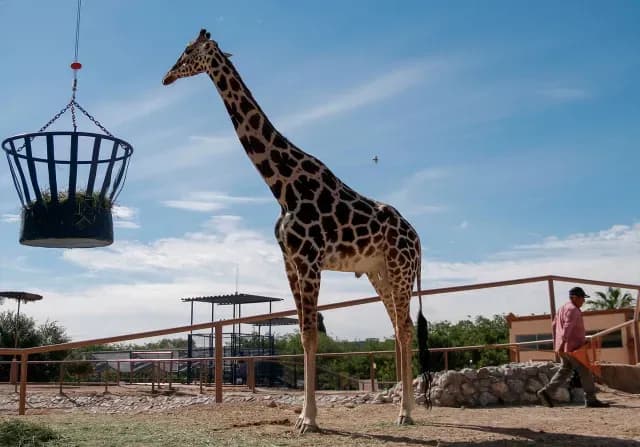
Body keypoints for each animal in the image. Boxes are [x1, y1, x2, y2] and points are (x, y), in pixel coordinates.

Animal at [163, 29, 430, 433]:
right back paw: (402, 408)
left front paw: (309, 419)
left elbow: (310, 335)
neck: (282, 186)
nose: (167, 76)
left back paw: (406, 413)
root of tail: (418, 239)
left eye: (188, 50)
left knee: (405, 328)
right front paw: (305, 417)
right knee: (400, 328)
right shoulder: (289, 261)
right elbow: (304, 334)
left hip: (400, 270)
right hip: (378, 272)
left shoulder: (309, 259)